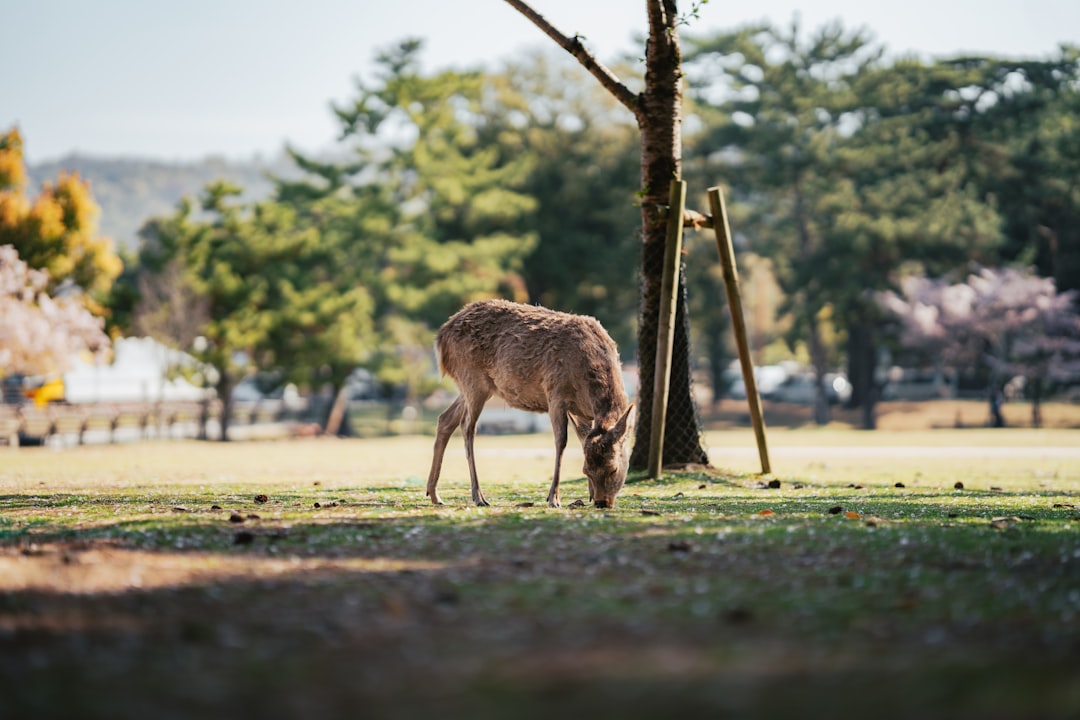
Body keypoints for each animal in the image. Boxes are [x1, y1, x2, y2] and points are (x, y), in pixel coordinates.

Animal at [426, 299, 636, 509]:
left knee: (445, 419)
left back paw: (434, 494)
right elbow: (561, 441)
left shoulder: (583, 411)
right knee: (467, 426)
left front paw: (587, 495)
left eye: (613, 469)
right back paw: (478, 496)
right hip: (472, 378)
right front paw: (553, 498)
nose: (601, 502)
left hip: (471, 386)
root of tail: (440, 337)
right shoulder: (555, 392)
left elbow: (582, 439)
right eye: (586, 470)